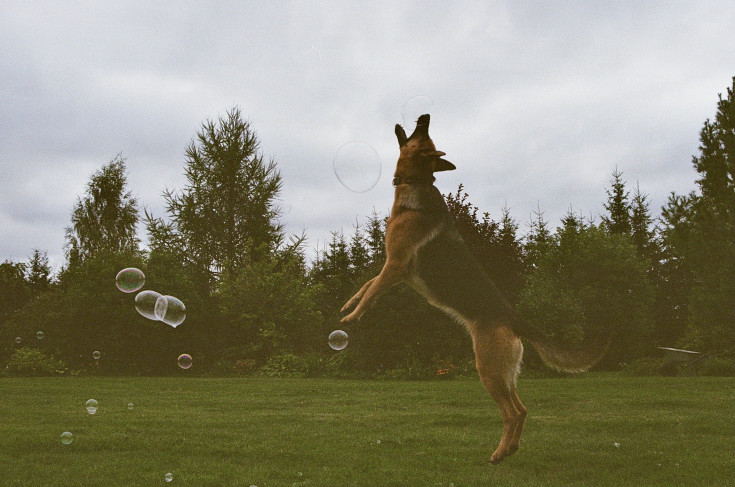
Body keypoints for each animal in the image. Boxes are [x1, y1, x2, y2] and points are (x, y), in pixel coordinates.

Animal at [340, 114, 609, 464]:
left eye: (422, 134)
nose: (424, 116)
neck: (417, 184)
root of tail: (514, 319)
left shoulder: (397, 265)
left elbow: (372, 292)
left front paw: (353, 317)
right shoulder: (398, 272)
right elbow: (367, 285)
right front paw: (349, 305)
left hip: (489, 369)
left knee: (512, 413)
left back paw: (499, 453)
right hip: (505, 373)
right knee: (522, 409)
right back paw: (510, 449)